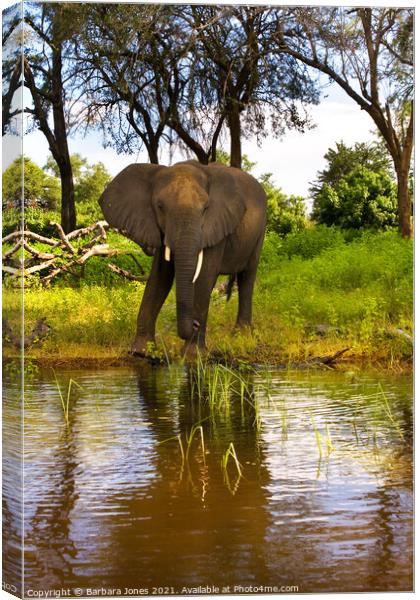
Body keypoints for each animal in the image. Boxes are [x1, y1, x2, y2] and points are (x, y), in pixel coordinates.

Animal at [98, 159, 266, 356]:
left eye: (205, 209)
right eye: (160, 207)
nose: (195, 323)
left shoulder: (215, 224)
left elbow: (204, 276)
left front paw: (192, 356)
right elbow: (159, 277)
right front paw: (141, 352)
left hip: (260, 231)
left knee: (247, 276)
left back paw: (241, 338)